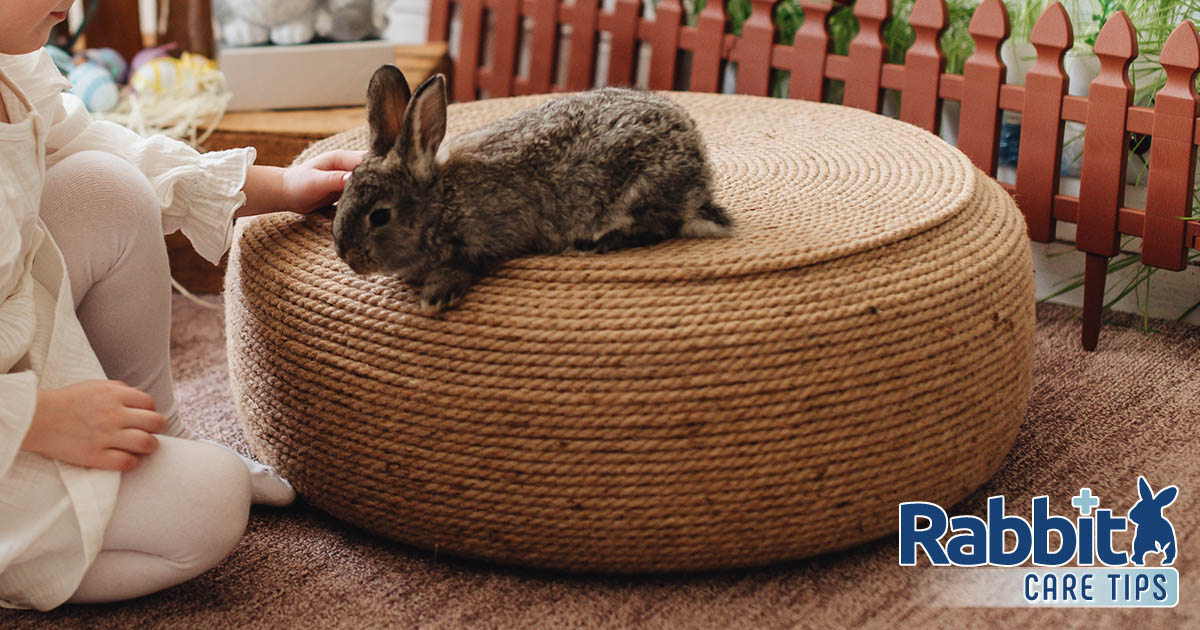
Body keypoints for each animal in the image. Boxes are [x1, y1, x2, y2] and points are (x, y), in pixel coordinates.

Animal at [333, 63, 734, 314]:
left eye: (379, 216)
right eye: (343, 196)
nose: (345, 254)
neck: (442, 202)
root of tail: (698, 181)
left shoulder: (492, 237)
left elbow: (467, 265)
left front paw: (436, 296)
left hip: (640, 191)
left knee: (655, 228)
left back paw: (589, 245)